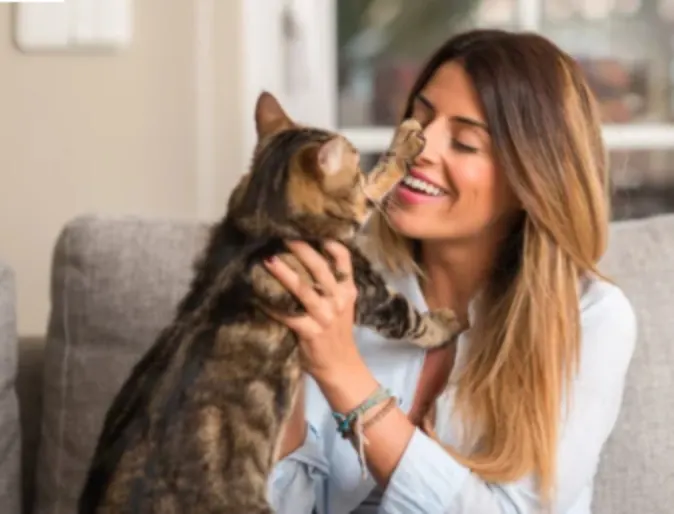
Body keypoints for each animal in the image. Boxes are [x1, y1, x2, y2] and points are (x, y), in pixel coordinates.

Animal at [76, 92, 460, 512]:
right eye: (354, 166)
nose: (359, 165)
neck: (262, 226)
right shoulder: (367, 290)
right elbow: (413, 317)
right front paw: (450, 322)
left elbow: (378, 185)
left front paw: (406, 140)